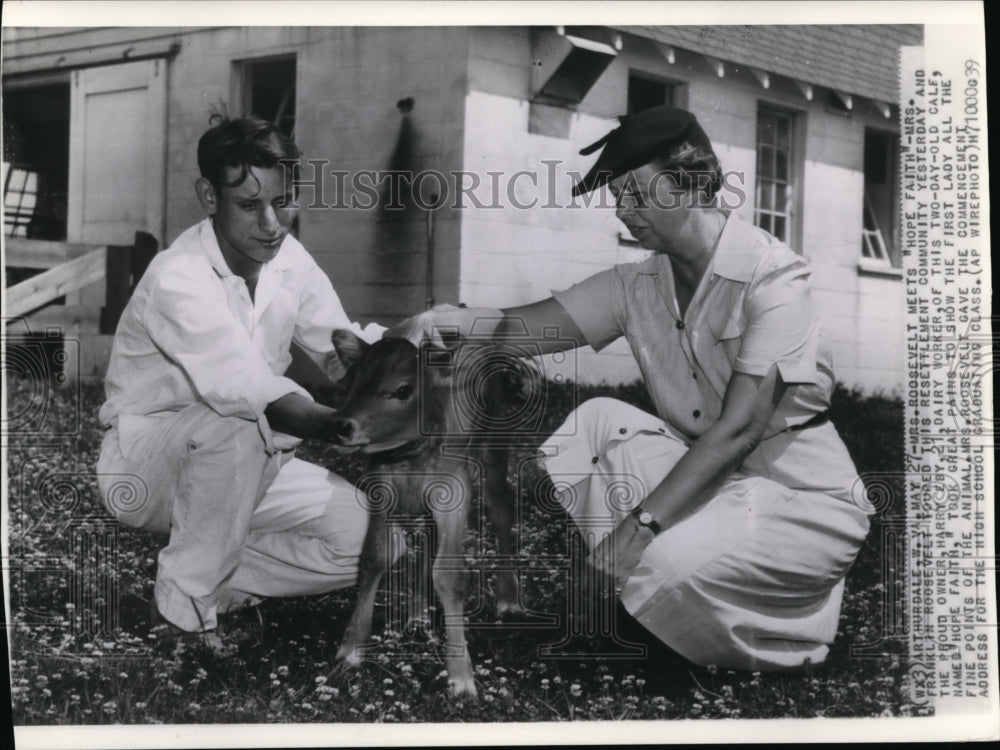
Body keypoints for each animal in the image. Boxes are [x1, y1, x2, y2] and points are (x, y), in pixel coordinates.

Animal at [330, 332, 524, 704]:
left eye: (403, 389)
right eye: (348, 383)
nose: (341, 427)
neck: (410, 456)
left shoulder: (454, 493)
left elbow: (449, 574)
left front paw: (461, 677)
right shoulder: (381, 488)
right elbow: (375, 557)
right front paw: (351, 649)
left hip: (494, 448)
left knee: (501, 508)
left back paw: (509, 597)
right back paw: (418, 616)